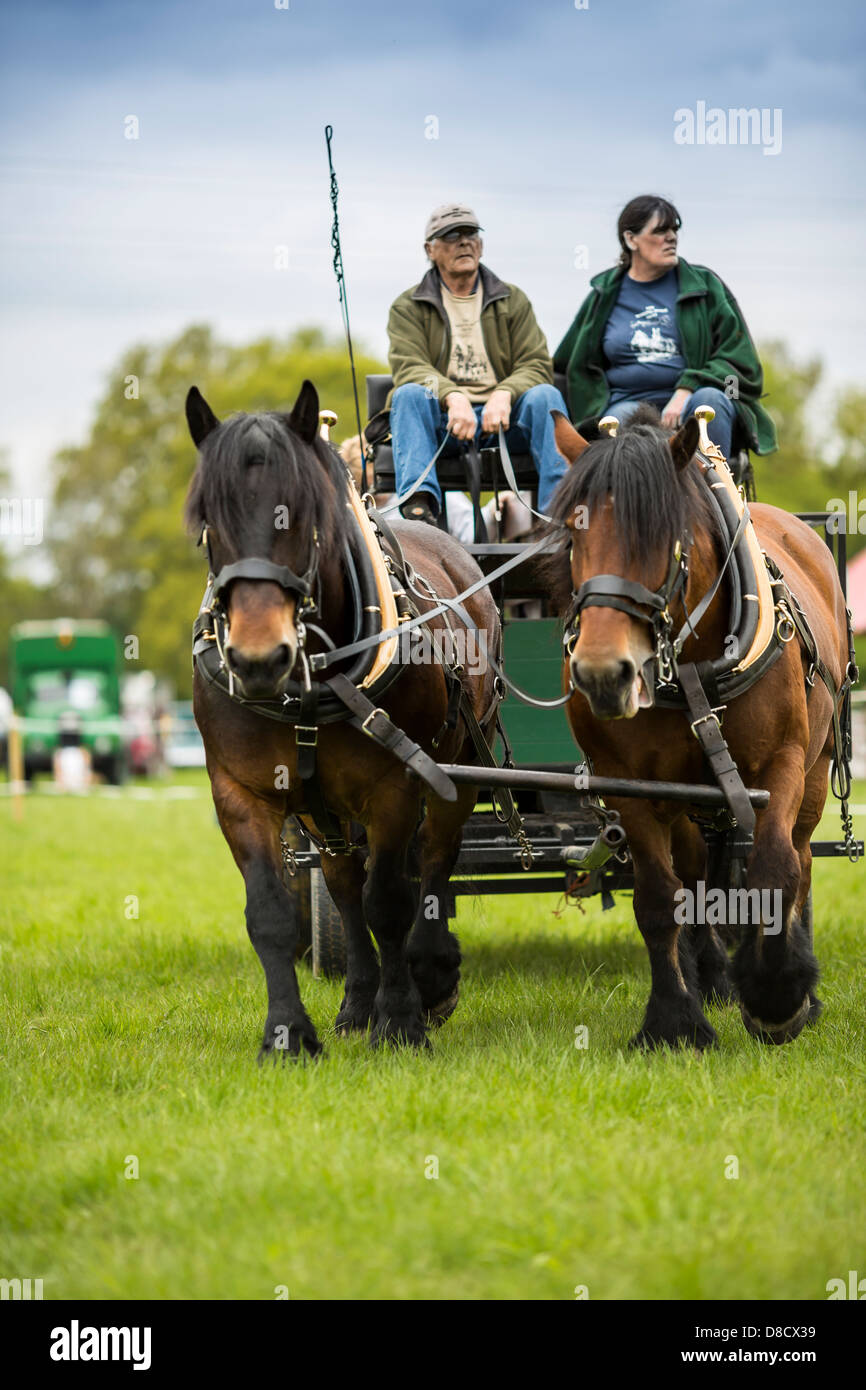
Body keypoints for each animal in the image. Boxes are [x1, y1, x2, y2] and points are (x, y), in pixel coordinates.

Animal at [186, 380, 500, 1050]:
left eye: (304, 515)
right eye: (207, 522)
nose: (258, 657)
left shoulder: (396, 782)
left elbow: (391, 900)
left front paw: (403, 1019)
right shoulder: (242, 791)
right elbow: (273, 913)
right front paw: (288, 1034)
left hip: (459, 764)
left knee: (433, 860)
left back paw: (429, 973)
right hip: (322, 806)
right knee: (343, 883)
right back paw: (358, 1001)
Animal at [544, 405, 850, 1045]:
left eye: (662, 535)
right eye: (574, 535)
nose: (602, 673)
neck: (687, 670)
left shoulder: (780, 766)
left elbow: (773, 870)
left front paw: (777, 998)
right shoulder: (629, 786)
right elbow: (660, 899)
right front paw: (674, 1021)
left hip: (814, 772)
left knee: (802, 859)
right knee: (695, 874)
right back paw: (708, 973)